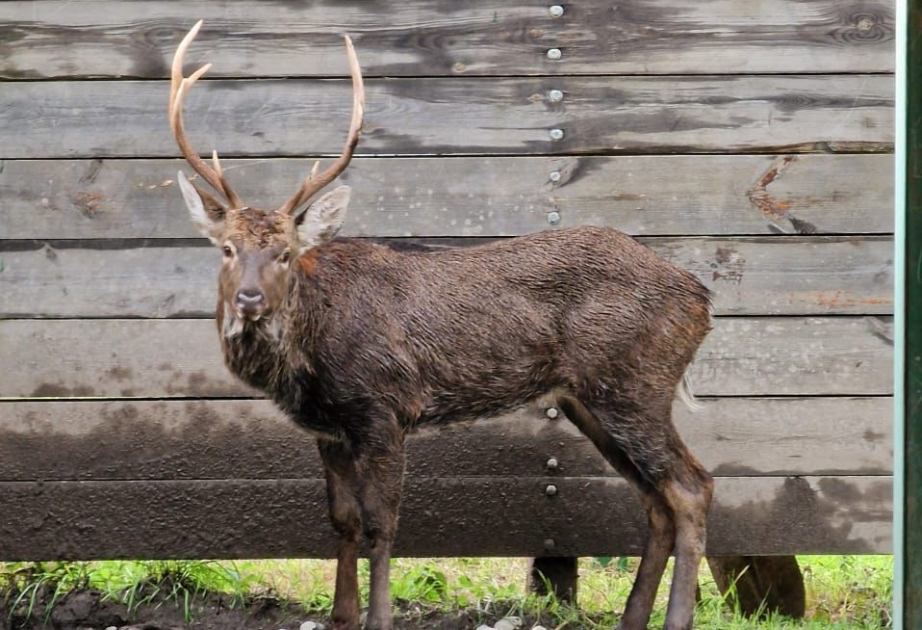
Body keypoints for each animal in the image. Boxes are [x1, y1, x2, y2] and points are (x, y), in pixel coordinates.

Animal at [169, 20, 714, 630]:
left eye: (284, 253)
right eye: (227, 249)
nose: (249, 299)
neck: (311, 356)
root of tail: (702, 297)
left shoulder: (383, 406)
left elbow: (382, 525)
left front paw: (378, 618)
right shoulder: (329, 429)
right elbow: (343, 521)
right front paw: (342, 615)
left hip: (636, 385)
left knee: (692, 487)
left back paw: (676, 617)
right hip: (591, 400)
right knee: (655, 500)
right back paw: (633, 618)